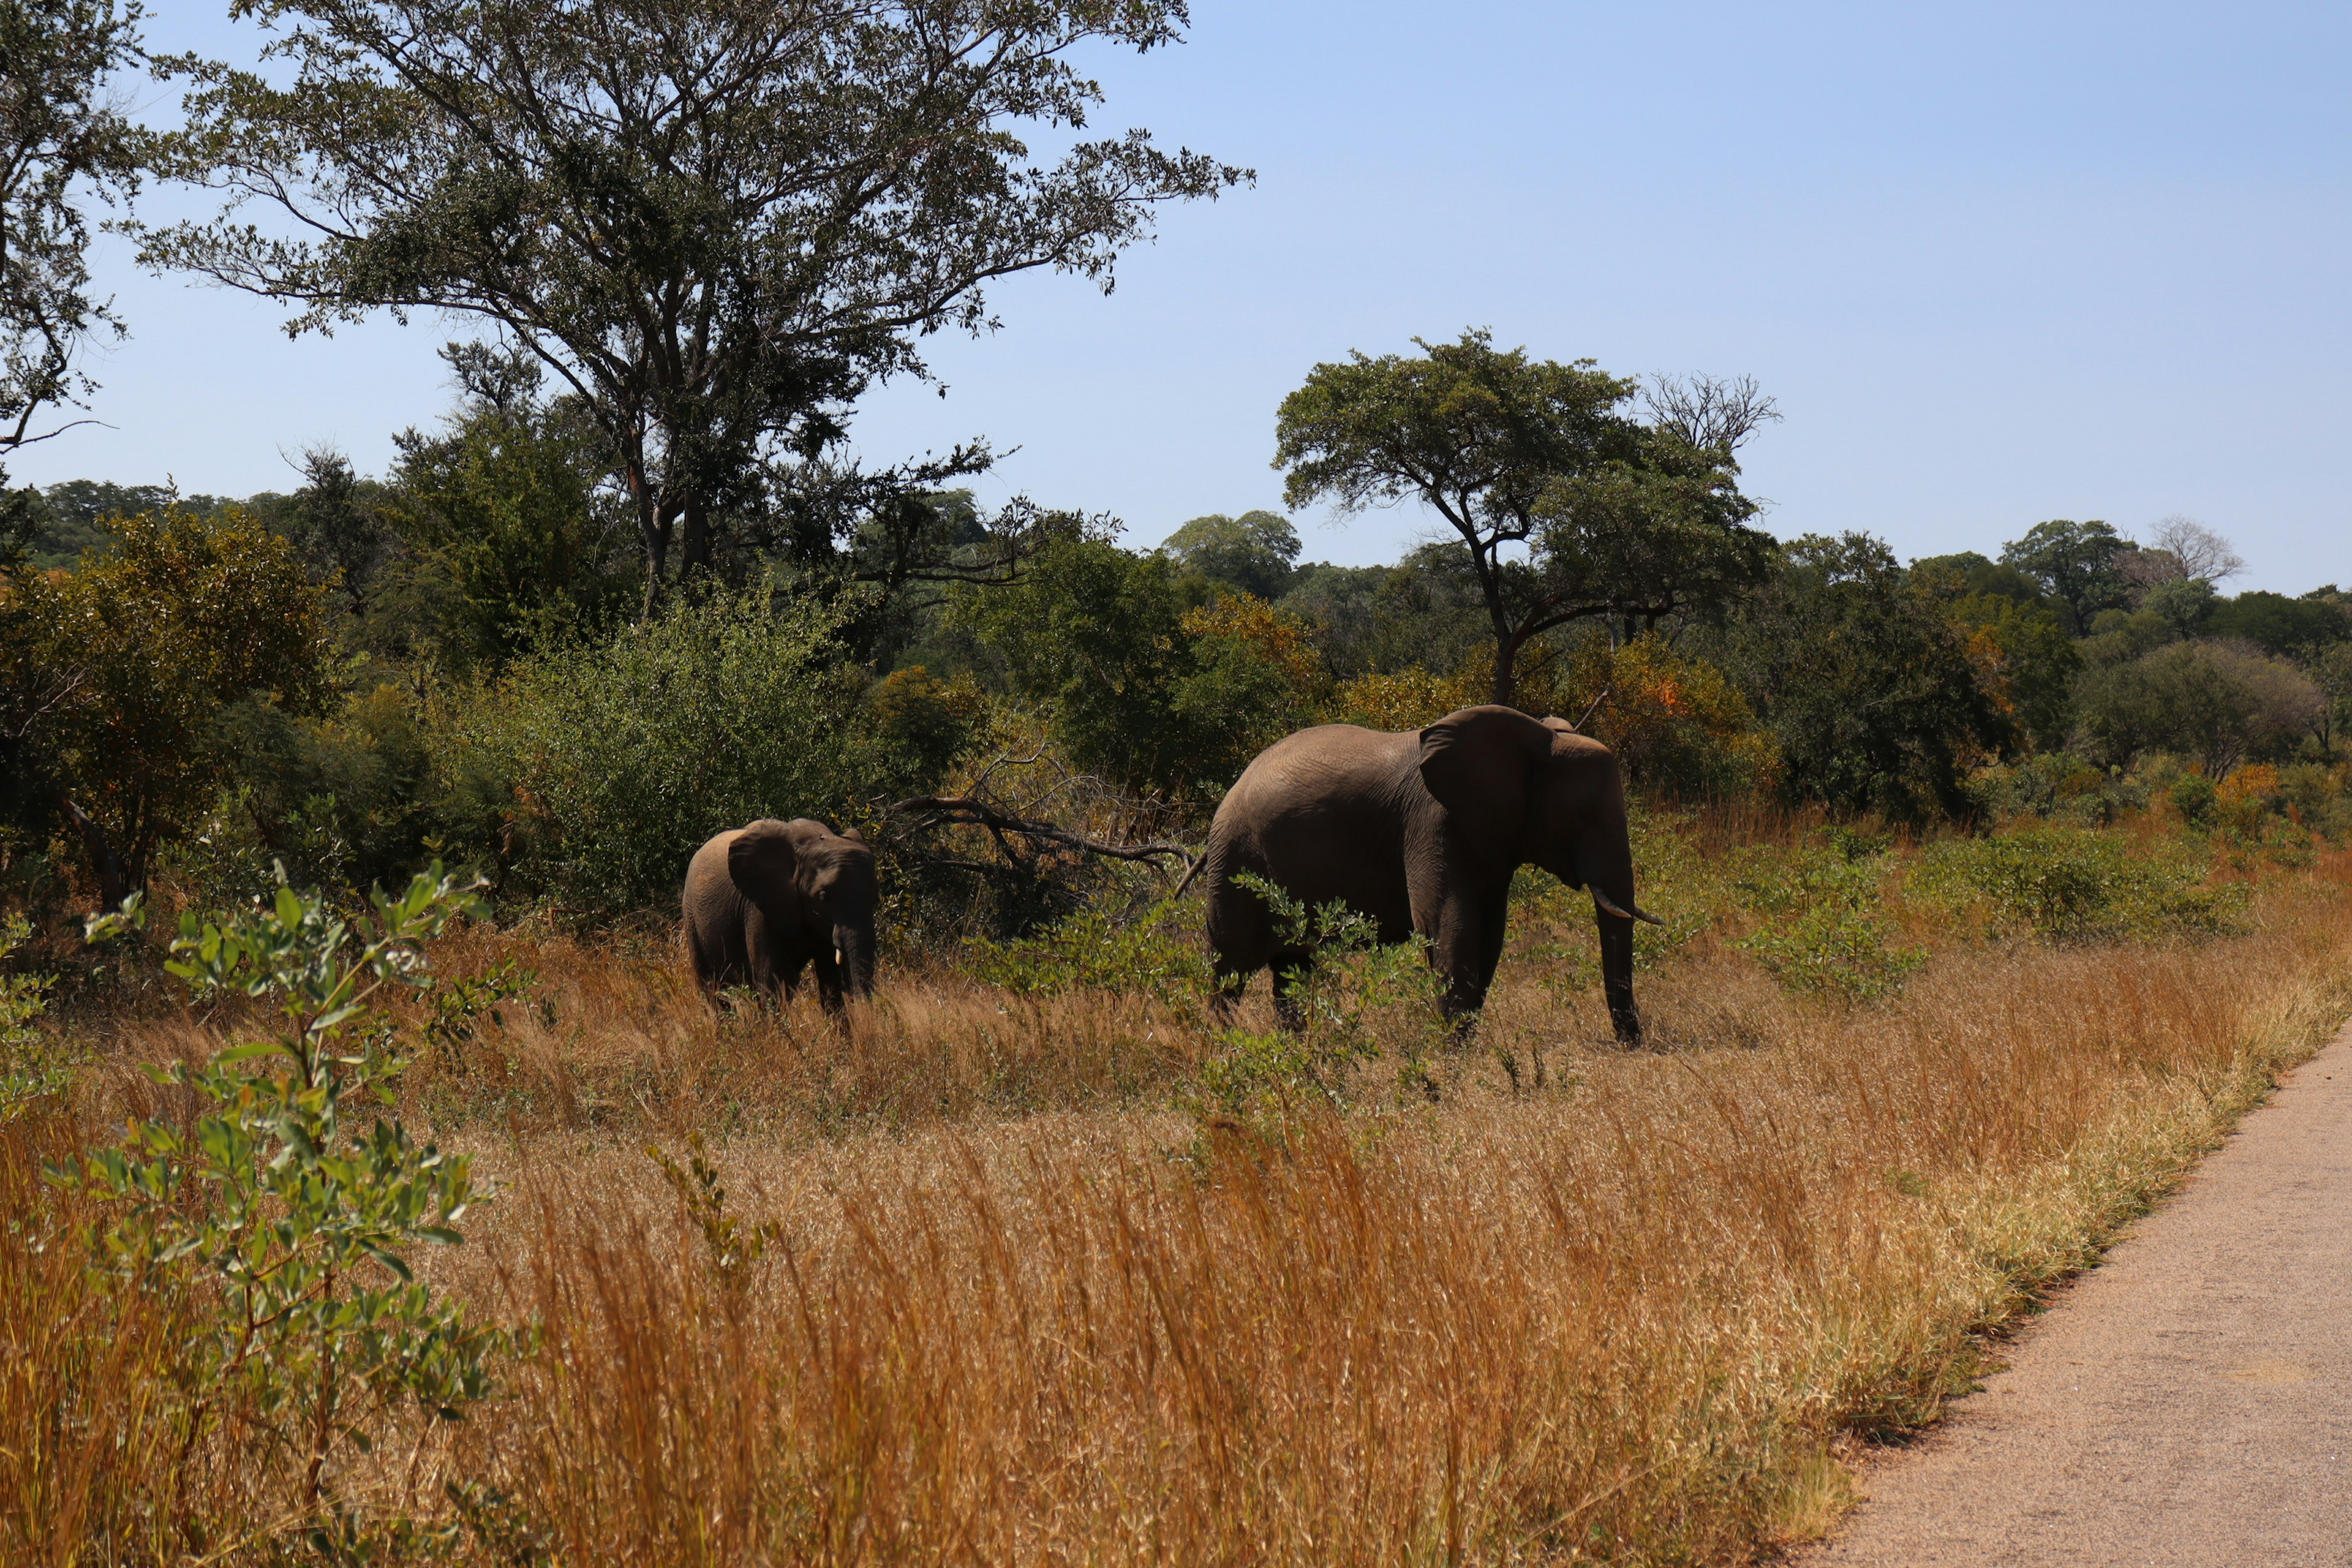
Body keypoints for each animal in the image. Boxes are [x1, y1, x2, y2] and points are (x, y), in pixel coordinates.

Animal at [687, 818, 880, 1011]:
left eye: (875, 896)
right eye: (823, 897)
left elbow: (829, 978)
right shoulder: (760, 906)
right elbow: (771, 977)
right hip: (690, 916)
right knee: (709, 988)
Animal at [1204, 705, 1665, 1048]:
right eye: (1582, 817)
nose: (1630, 1042)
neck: (1533, 739)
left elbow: (1489, 934)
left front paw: (1462, 1043)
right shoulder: (1432, 821)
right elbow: (1446, 923)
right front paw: (1453, 1051)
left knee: (1291, 970)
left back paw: (1297, 1048)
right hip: (1235, 862)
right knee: (1230, 970)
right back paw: (1223, 1047)